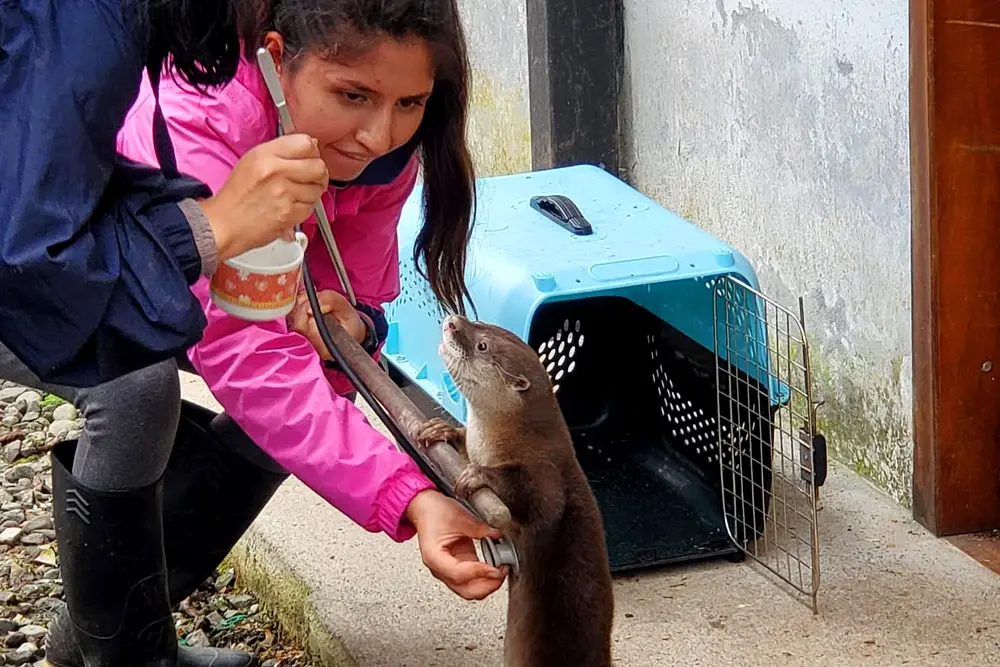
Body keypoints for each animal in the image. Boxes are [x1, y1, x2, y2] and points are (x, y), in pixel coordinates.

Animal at [417, 314, 615, 667]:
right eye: (479, 322)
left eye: (483, 345)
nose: (453, 321)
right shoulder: (477, 444)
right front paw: (440, 429)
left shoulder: (546, 470)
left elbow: (541, 501)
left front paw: (479, 474)